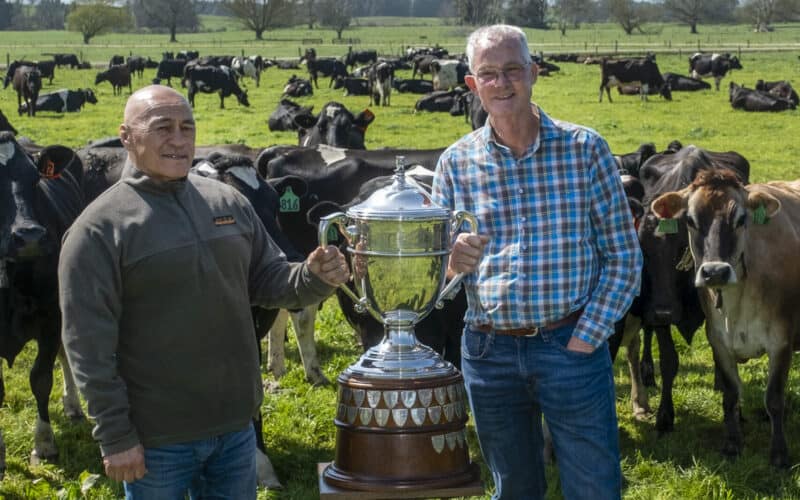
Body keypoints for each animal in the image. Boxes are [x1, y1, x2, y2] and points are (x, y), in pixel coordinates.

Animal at [0, 132, 85, 472]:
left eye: (35, 180)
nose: (30, 236)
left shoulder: (51, 317)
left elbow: (40, 378)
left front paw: (44, 444)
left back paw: (74, 405)